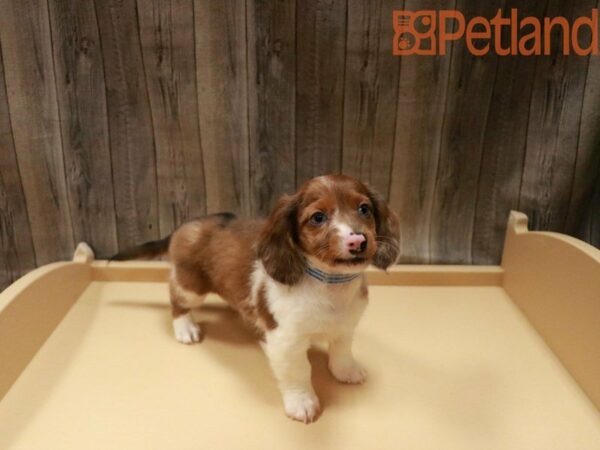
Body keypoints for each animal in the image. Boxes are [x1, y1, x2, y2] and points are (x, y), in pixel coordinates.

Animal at [114, 174, 400, 424]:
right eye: (318, 217)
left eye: (364, 209)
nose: (358, 240)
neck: (330, 284)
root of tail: (185, 225)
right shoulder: (286, 341)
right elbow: (299, 372)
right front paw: (302, 402)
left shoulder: (345, 326)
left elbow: (341, 351)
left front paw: (346, 371)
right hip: (191, 286)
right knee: (176, 299)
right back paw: (186, 328)